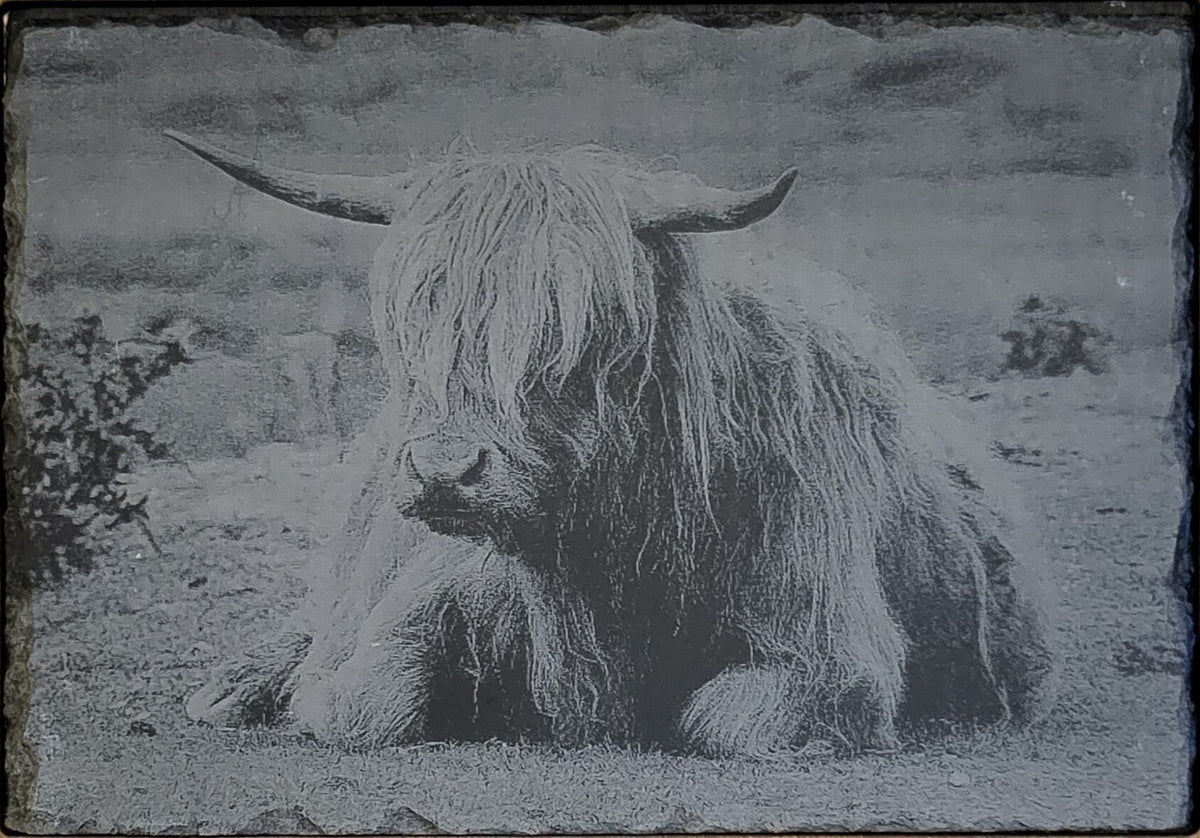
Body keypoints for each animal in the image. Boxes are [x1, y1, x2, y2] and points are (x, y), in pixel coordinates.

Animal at [170, 130, 1055, 757]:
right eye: (409, 323)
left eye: (579, 329)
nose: (444, 472)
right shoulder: (415, 607)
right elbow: (358, 705)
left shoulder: (830, 657)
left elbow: (721, 723)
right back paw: (229, 687)